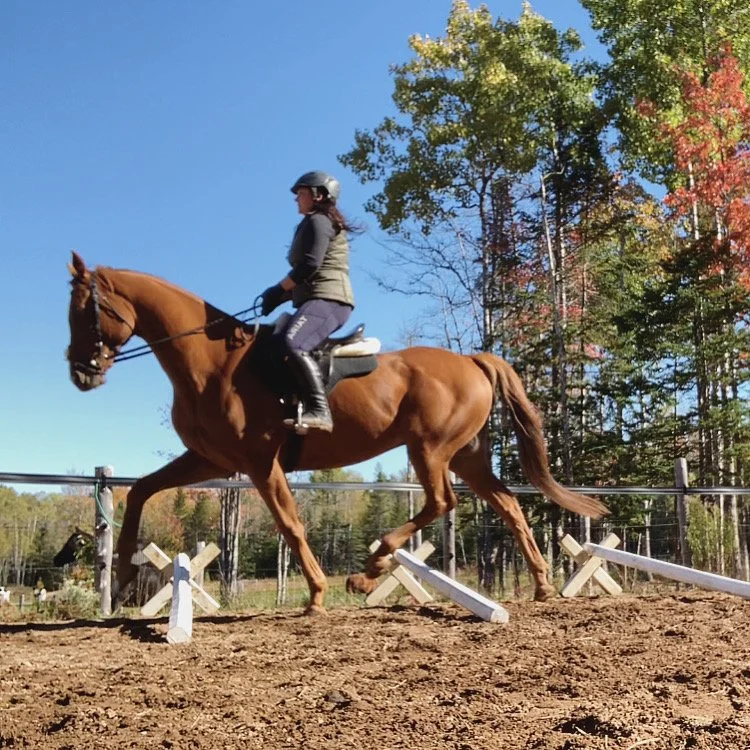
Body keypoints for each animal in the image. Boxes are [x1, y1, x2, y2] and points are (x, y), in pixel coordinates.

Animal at [66, 251, 609, 613]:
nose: (80, 373)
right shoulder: (212, 459)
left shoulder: (259, 462)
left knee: (442, 502)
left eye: (84, 310)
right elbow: (142, 490)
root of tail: (472, 360)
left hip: (430, 448)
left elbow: (290, 525)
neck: (213, 362)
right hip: (466, 456)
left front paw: (317, 593)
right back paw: (541, 585)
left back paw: (370, 572)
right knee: (509, 505)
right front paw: (122, 575)